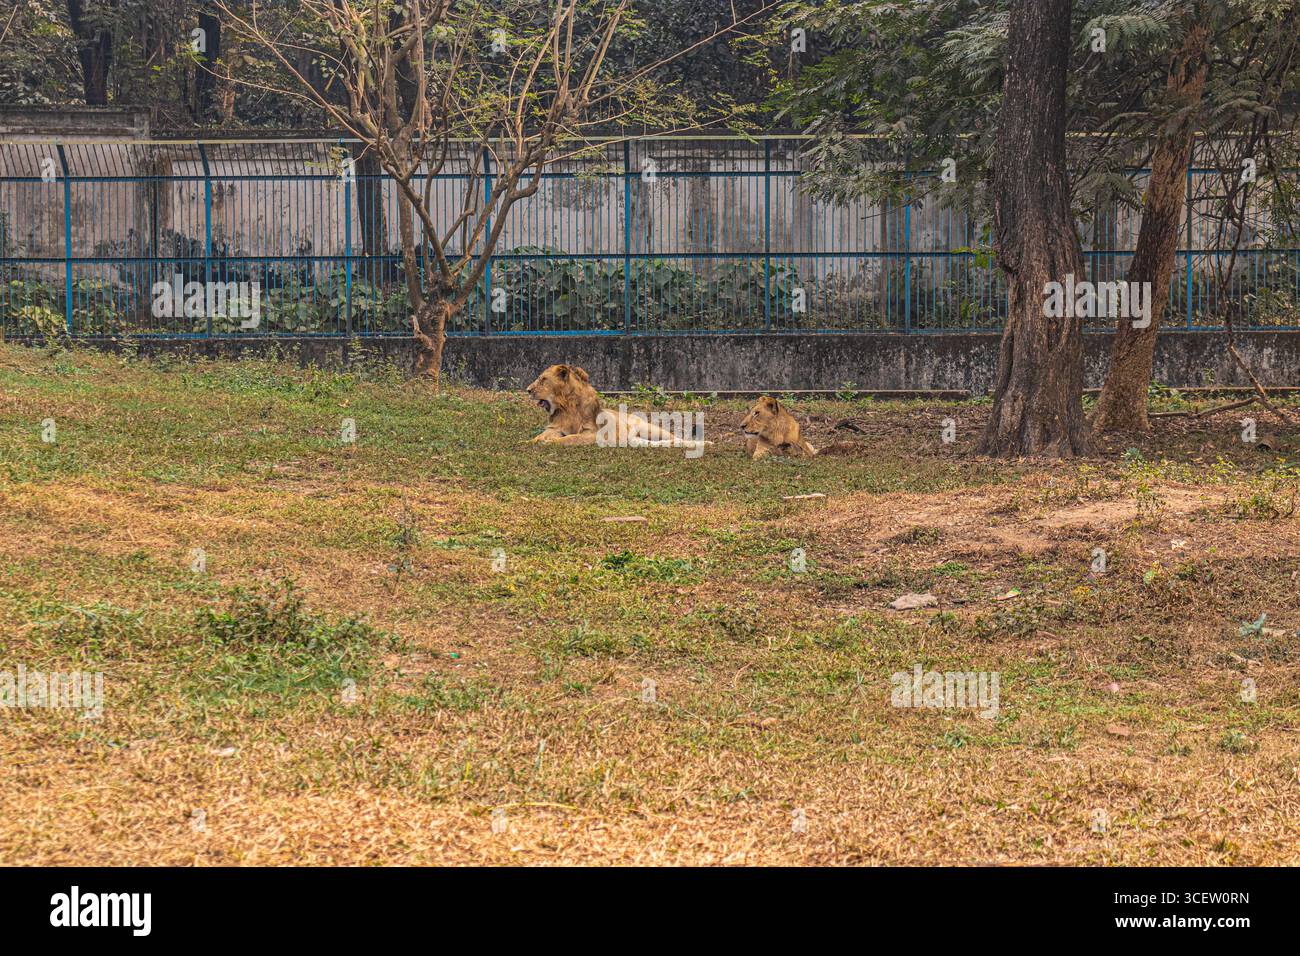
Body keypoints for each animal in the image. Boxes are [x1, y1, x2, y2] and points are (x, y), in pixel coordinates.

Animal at [525, 365, 709, 452]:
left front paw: (551, 442)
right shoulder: (555, 428)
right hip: (636, 439)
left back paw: (704, 443)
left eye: (543, 380)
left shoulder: (594, 434)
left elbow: (570, 438)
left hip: (651, 429)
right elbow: (541, 436)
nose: (527, 390)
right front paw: (530, 442)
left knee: (677, 438)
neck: (566, 405)